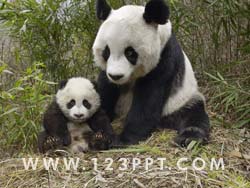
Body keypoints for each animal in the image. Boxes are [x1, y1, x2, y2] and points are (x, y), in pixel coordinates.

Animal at [93, 0, 210, 147]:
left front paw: (122, 140)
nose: (116, 76)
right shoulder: (107, 72)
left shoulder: (164, 59)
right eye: (106, 51)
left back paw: (189, 138)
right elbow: (105, 89)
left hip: (181, 101)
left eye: (130, 53)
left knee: (194, 115)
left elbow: (147, 101)